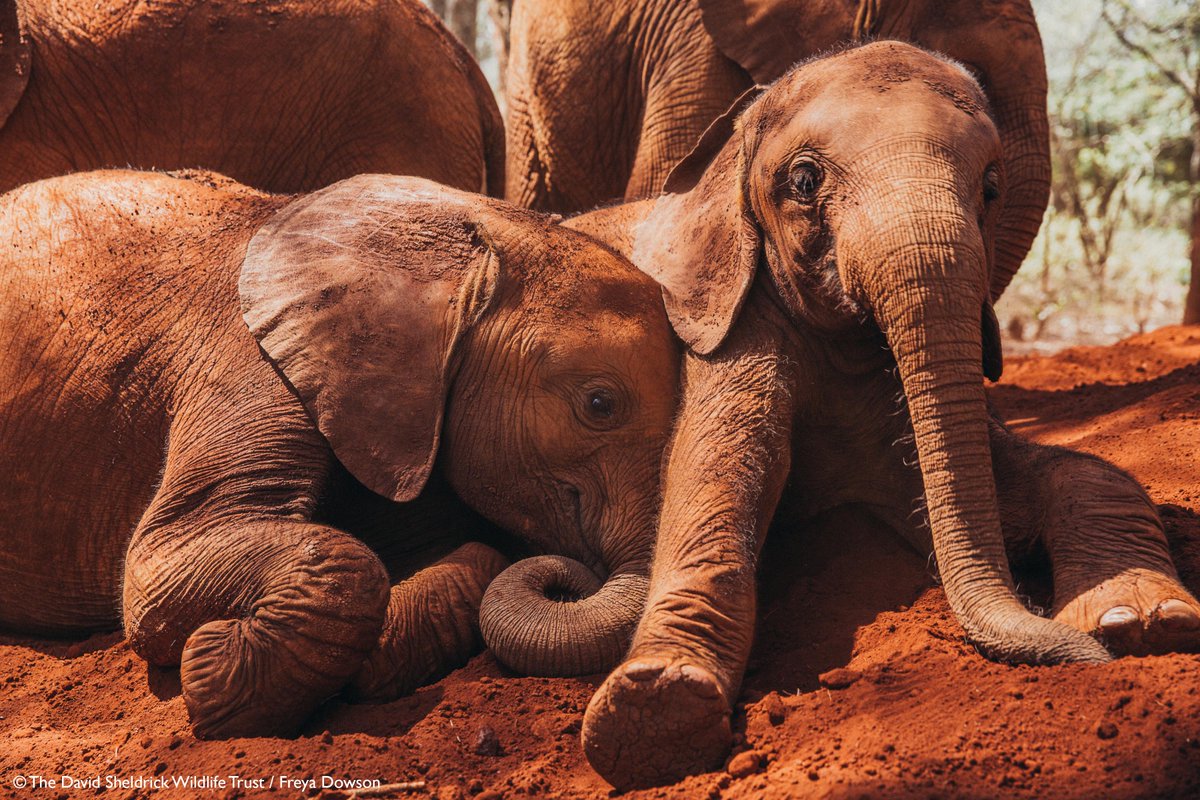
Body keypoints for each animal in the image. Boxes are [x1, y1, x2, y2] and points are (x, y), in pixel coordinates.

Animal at [564, 42, 1200, 789]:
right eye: (803, 180)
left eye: (991, 187)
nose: (1082, 659)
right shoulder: (729, 321)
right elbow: (711, 484)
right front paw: (654, 714)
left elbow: (1078, 472)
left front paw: (1144, 622)